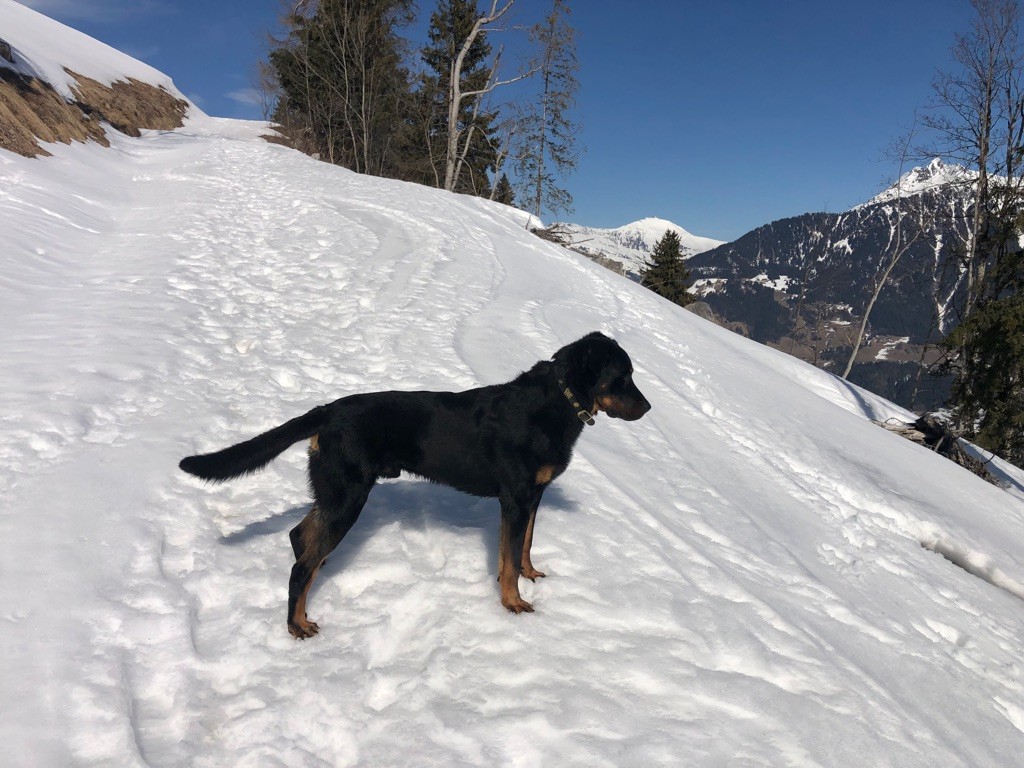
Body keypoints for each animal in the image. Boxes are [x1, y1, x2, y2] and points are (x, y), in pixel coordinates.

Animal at [180, 331, 651, 638]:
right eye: (622, 376)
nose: (648, 408)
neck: (560, 404)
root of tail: (326, 411)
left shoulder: (535, 494)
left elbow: (525, 547)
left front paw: (531, 573)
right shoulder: (516, 498)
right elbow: (507, 558)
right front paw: (513, 604)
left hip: (336, 490)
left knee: (301, 538)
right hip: (350, 495)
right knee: (300, 566)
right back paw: (297, 624)